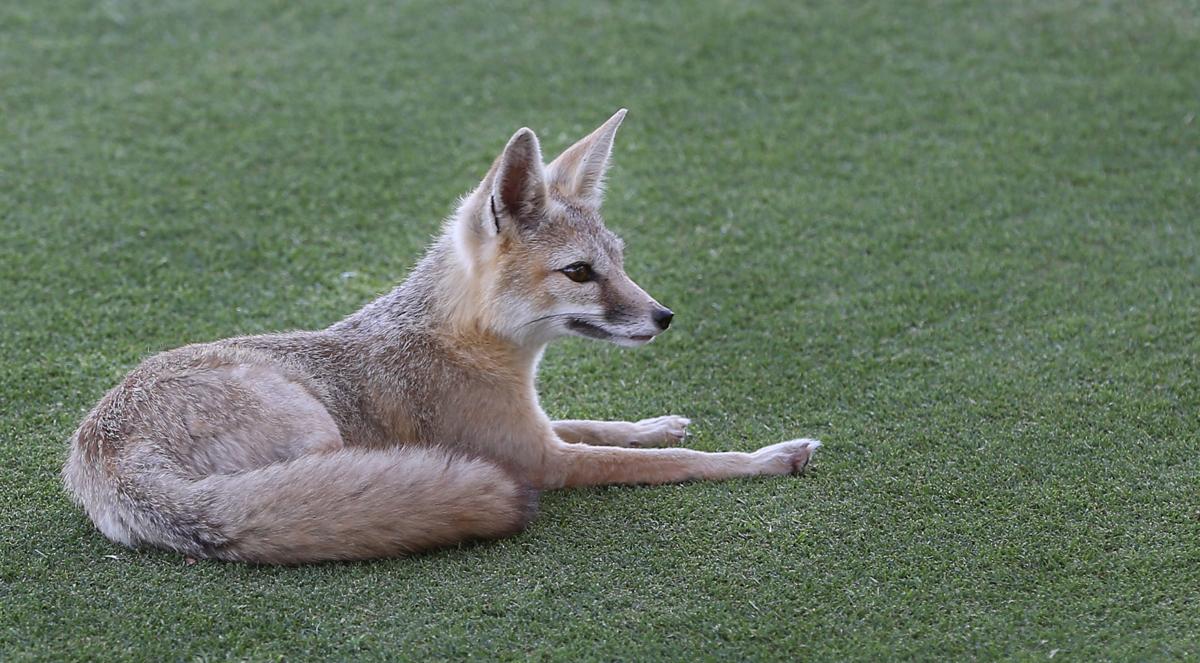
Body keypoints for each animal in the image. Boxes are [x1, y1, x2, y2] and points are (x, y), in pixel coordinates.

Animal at [63, 109, 821, 564]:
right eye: (581, 272)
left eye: (621, 260)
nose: (664, 317)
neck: (470, 346)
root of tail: (101, 454)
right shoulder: (544, 459)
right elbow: (674, 463)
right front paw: (766, 458)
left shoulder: (532, 427)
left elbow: (603, 425)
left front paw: (656, 422)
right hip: (320, 436)